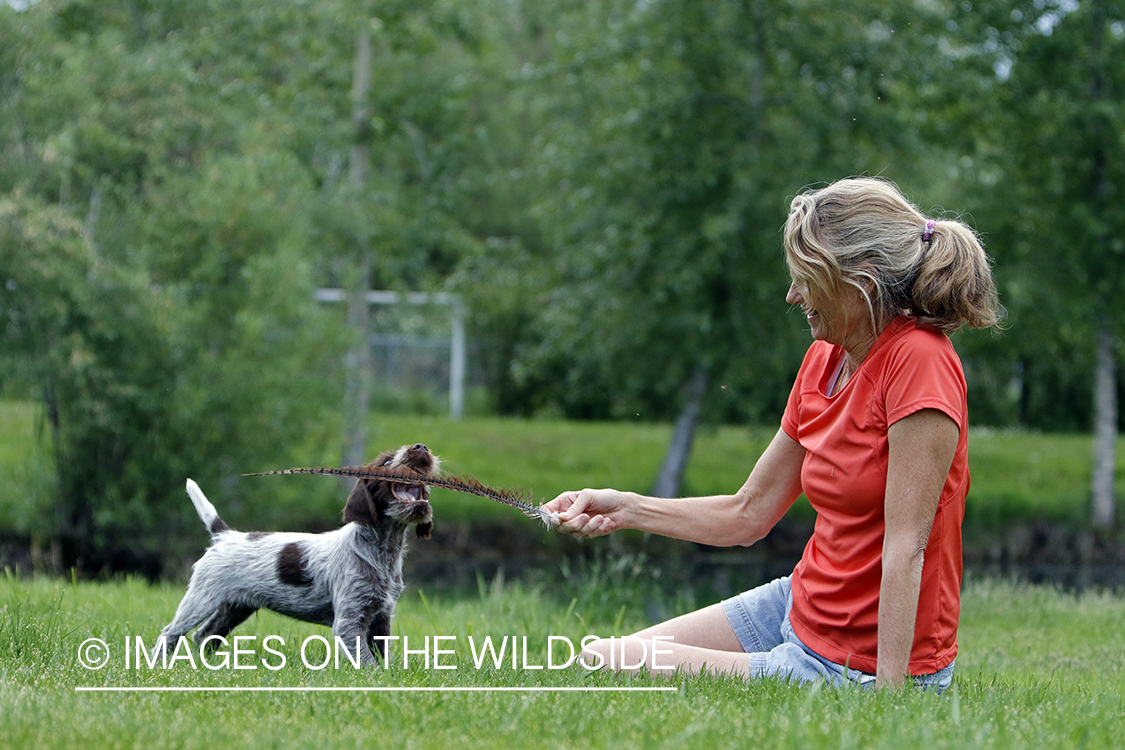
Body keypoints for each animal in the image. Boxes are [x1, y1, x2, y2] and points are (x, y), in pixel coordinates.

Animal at [156, 443, 436, 665]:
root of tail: (225, 535)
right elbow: (367, 661)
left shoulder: (381, 617)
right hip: (202, 598)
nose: (421, 447)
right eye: (387, 462)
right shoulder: (349, 620)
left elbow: (381, 655)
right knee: (170, 632)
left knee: (203, 635)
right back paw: (159, 664)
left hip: (236, 607)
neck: (382, 550)